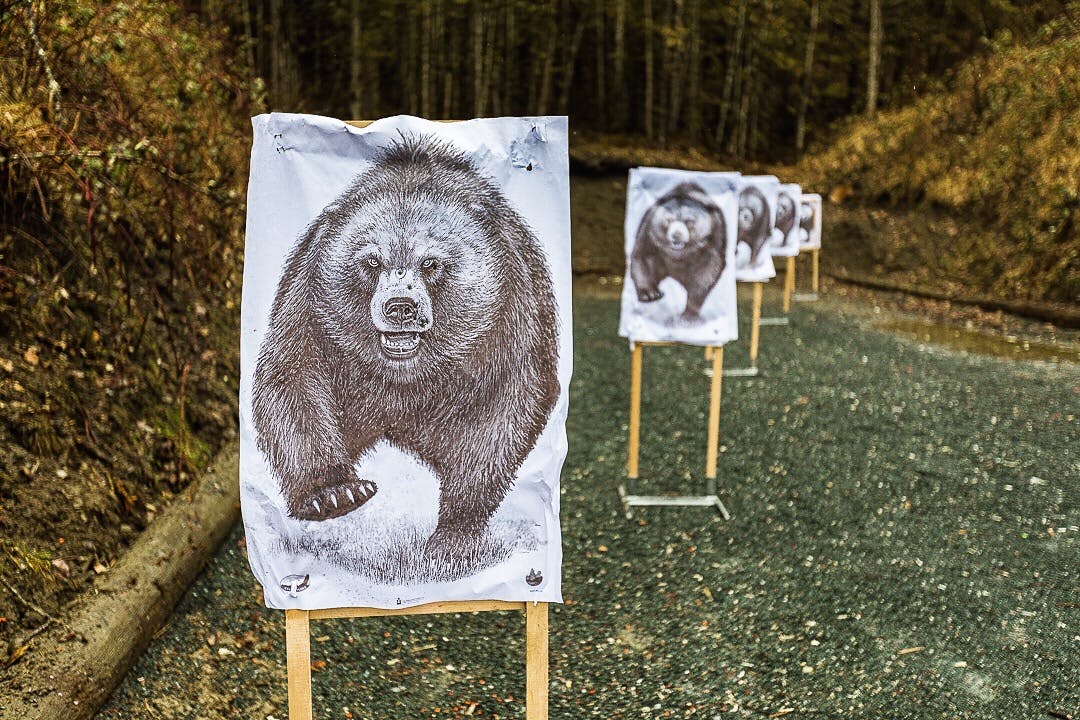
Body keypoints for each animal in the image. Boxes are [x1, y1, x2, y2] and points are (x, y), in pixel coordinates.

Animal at [252, 136, 560, 558]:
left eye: (431, 262)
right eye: (370, 260)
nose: (400, 306)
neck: (407, 375)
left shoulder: (508, 316)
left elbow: (498, 415)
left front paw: (453, 533)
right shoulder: (312, 300)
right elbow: (293, 379)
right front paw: (334, 493)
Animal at [629, 182, 727, 322]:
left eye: (689, 221)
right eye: (668, 220)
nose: (676, 235)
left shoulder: (714, 236)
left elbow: (707, 271)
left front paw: (689, 313)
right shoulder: (648, 227)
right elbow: (643, 255)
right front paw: (649, 294)